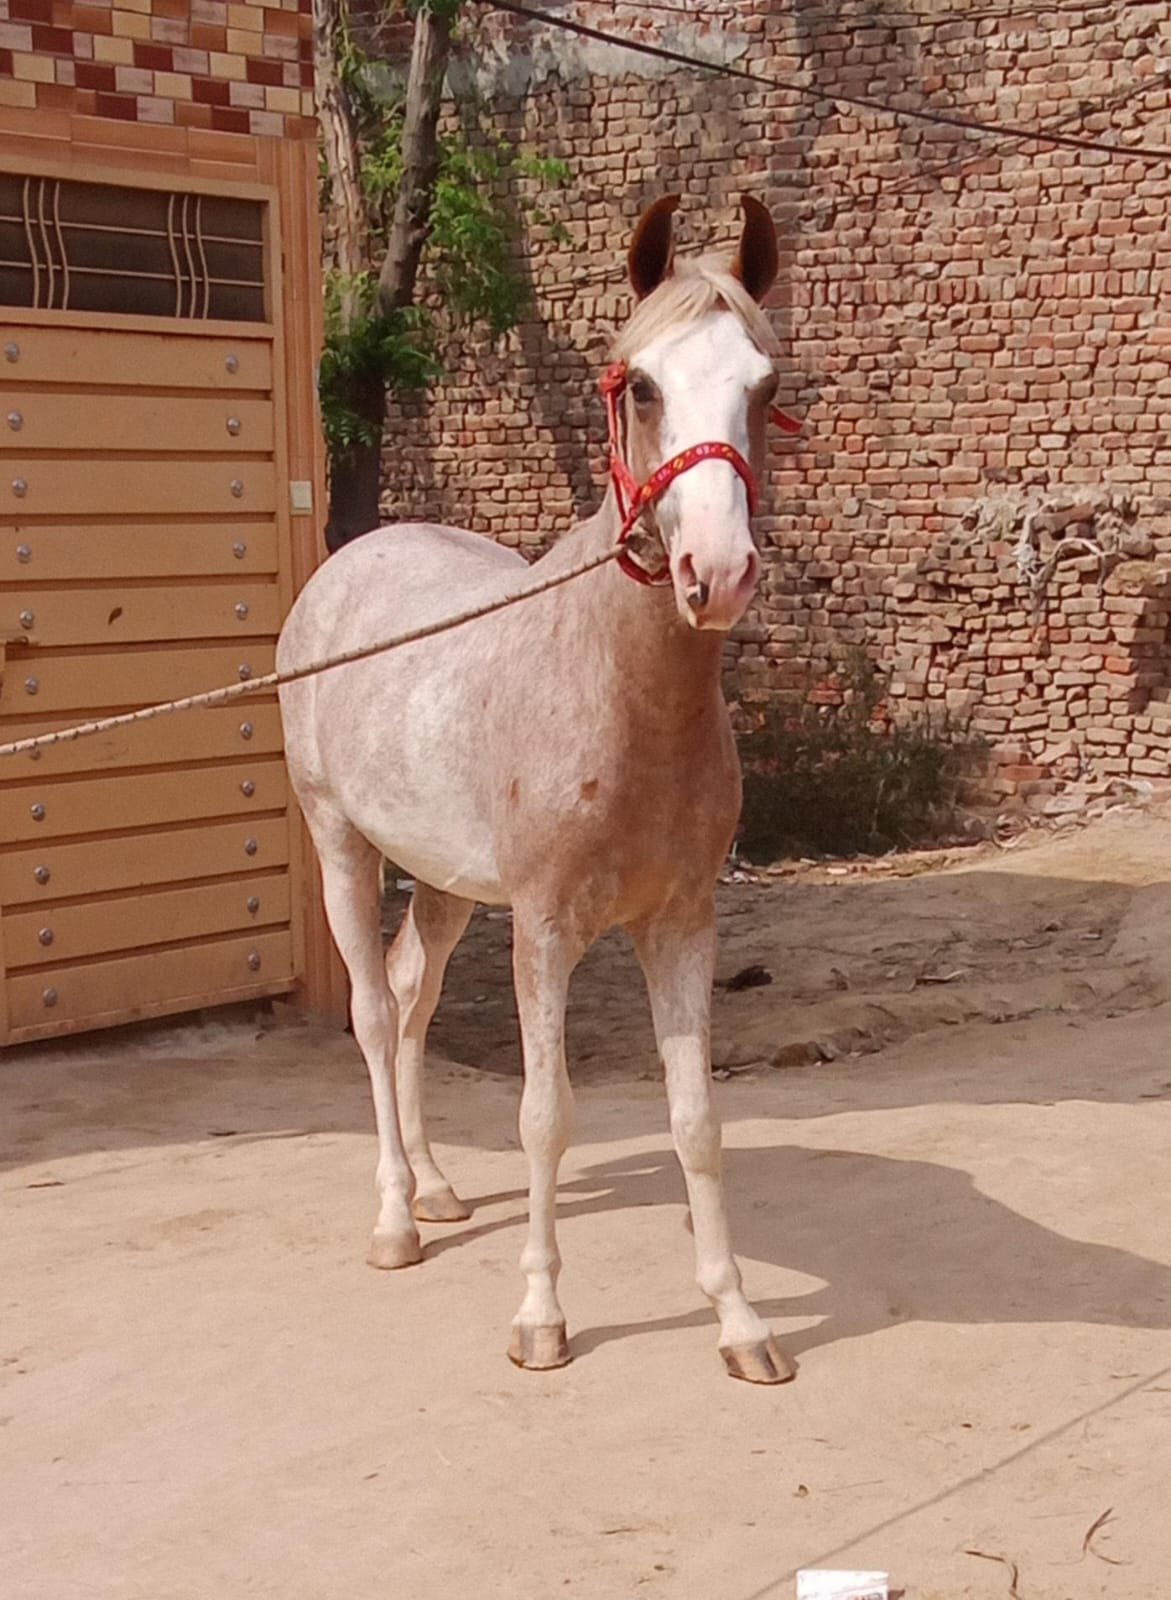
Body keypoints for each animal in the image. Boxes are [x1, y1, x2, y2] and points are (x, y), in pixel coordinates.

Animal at [277, 193, 795, 1384]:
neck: (616, 688)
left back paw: (434, 1187)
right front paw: (540, 1321)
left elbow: (696, 1121)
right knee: (373, 1013)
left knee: (412, 998)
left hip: (445, 884)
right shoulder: (546, 927)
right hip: (341, 845)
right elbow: (544, 1117)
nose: (717, 573)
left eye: (763, 386)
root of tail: (346, 566)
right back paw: (396, 1221)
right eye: (639, 384)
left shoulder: (681, 922)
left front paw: (740, 1324)